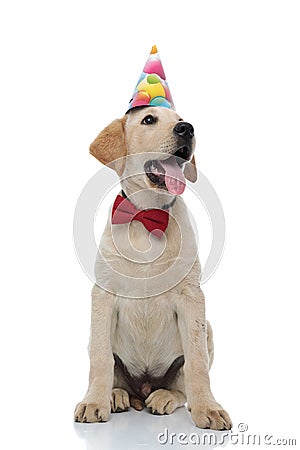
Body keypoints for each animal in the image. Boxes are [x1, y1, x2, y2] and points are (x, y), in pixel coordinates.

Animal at [73, 106, 232, 432]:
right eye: (149, 120)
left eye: (180, 119)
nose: (187, 129)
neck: (148, 214)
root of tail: (144, 387)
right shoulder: (103, 295)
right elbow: (101, 359)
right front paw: (94, 402)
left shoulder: (192, 297)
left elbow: (197, 363)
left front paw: (208, 409)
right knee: (112, 369)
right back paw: (115, 395)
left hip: (208, 329)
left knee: (181, 386)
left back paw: (164, 397)